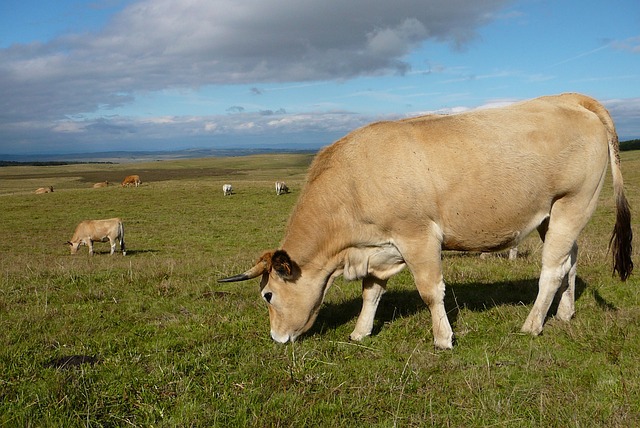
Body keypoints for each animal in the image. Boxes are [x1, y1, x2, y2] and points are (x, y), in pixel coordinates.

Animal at [221, 93, 636, 348]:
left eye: (268, 295)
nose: (276, 338)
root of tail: (570, 98)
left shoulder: (417, 235)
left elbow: (430, 290)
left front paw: (443, 338)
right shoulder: (380, 247)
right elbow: (371, 292)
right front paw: (360, 332)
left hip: (573, 203)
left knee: (551, 270)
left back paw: (532, 325)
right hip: (555, 214)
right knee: (570, 262)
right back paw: (564, 313)